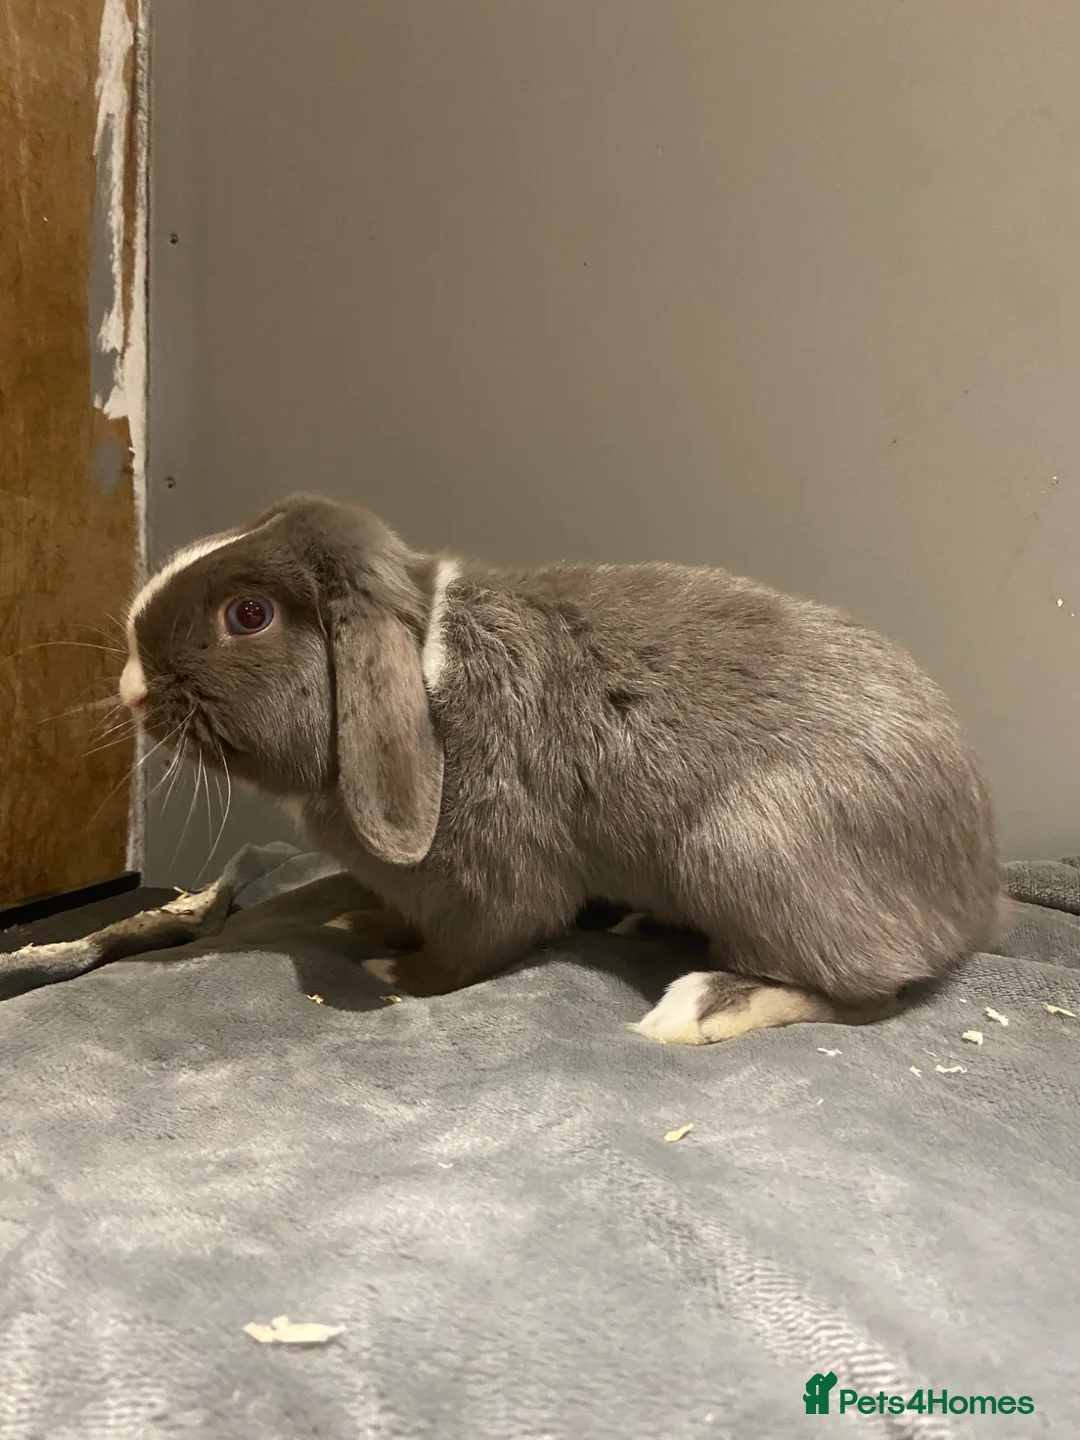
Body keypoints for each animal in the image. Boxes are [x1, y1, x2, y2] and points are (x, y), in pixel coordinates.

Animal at [118, 493, 1002, 1044]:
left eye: (249, 615)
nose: (129, 687)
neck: (428, 673)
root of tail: (968, 901)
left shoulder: (490, 882)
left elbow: (471, 951)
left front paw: (394, 967)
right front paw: (360, 924)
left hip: (745, 848)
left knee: (866, 995)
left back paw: (704, 1004)